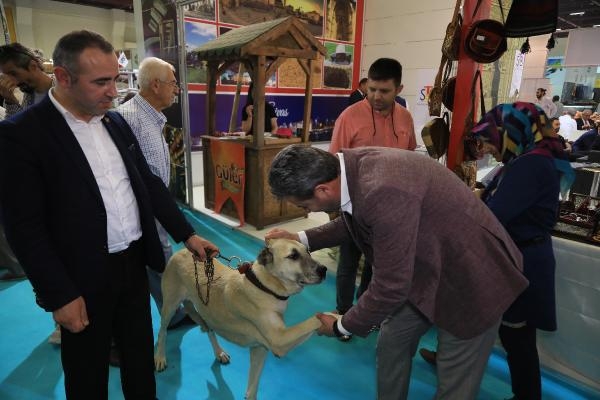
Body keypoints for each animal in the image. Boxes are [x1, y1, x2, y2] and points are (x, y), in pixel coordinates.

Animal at [152, 239, 326, 398]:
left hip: (207, 312)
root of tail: (182, 251)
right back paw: (160, 357)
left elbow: (252, 389)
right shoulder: (279, 341)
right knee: (162, 331)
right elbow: (313, 320)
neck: (264, 286)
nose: (323, 270)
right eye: (293, 256)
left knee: (209, 330)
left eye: (308, 251)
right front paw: (331, 316)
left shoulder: (259, 350)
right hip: (169, 306)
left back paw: (219, 352)